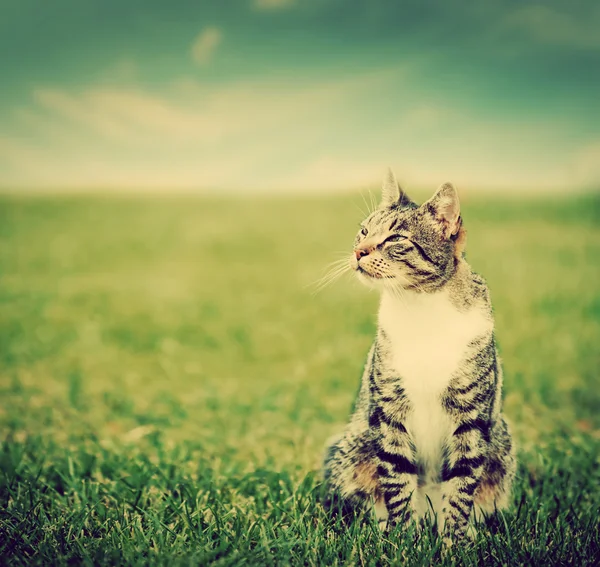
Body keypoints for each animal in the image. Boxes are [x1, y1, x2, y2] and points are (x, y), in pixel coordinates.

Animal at [324, 171, 516, 544]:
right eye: (364, 231)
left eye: (396, 239)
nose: (357, 251)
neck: (419, 306)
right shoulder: (389, 409)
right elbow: (397, 477)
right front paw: (401, 539)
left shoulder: (471, 417)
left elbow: (461, 486)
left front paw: (454, 543)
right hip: (352, 448)